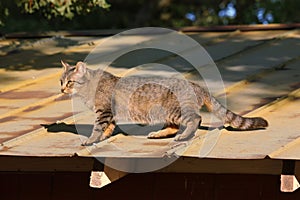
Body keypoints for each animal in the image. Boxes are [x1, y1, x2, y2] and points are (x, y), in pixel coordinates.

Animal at [59, 60, 268, 145]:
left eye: (70, 82)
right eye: (61, 81)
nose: (61, 90)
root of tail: (197, 85)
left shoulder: (103, 111)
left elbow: (97, 128)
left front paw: (91, 139)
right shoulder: (110, 114)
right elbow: (107, 129)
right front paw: (101, 138)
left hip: (175, 110)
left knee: (195, 119)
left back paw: (183, 136)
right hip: (167, 114)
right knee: (174, 127)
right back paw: (158, 134)